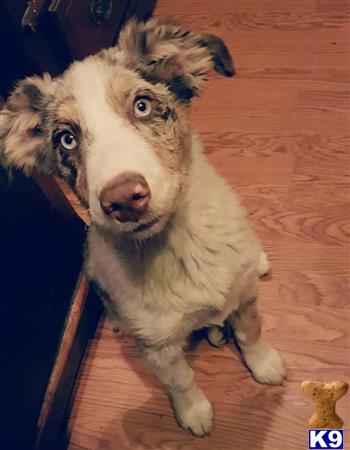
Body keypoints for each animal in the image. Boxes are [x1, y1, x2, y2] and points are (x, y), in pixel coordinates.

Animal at [0, 17, 284, 436]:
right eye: (67, 139)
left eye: (142, 105)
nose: (122, 200)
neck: (179, 245)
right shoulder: (157, 347)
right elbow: (180, 380)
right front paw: (194, 413)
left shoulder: (245, 293)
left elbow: (252, 330)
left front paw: (265, 365)